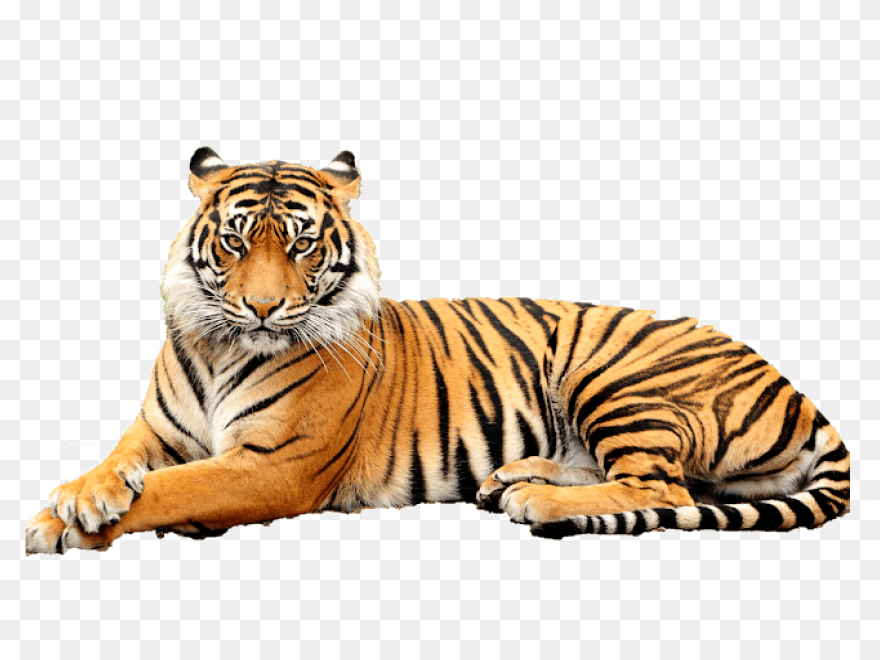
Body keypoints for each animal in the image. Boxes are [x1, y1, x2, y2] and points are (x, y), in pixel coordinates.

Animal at [25, 148, 851, 554]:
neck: (222, 344)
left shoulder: (273, 465)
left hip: (613, 372)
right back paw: (513, 476)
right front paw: (79, 497)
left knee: (663, 488)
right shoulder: (156, 432)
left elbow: (175, 490)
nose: (262, 307)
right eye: (234, 242)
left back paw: (535, 498)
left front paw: (65, 523)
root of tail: (796, 388)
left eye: (300, 244)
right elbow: (121, 465)